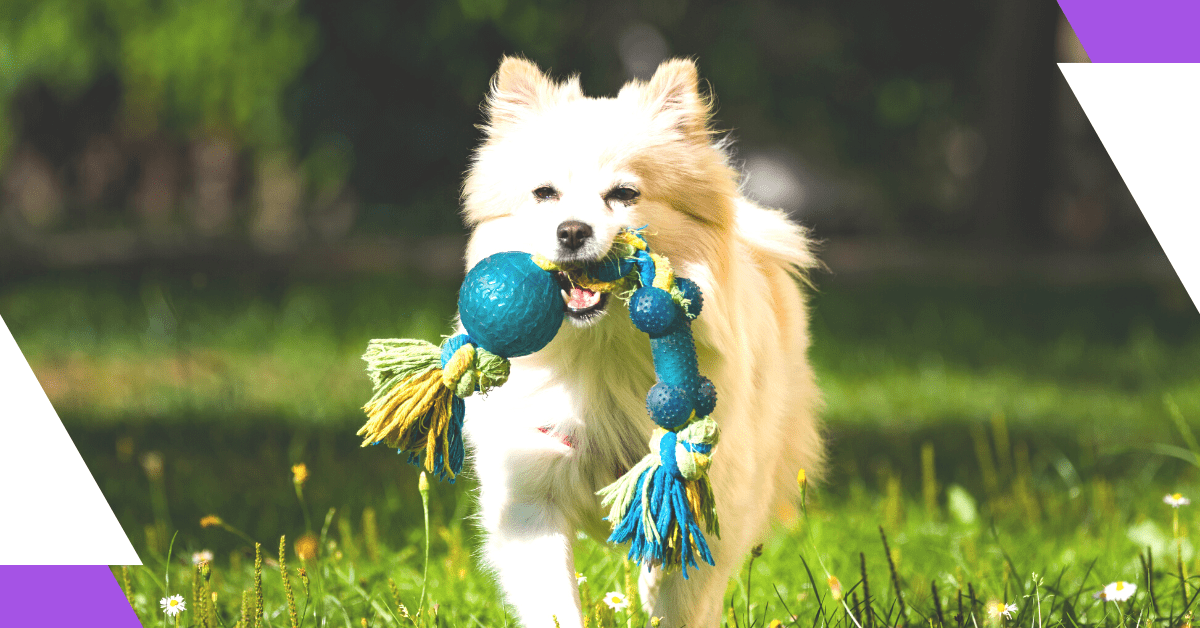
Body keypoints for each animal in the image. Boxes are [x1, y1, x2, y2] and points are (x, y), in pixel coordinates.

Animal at [458, 56, 825, 624]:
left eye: (624, 195)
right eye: (544, 194)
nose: (571, 231)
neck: (601, 351)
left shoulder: (708, 492)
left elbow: (680, 585)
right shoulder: (530, 498)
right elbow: (555, 602)